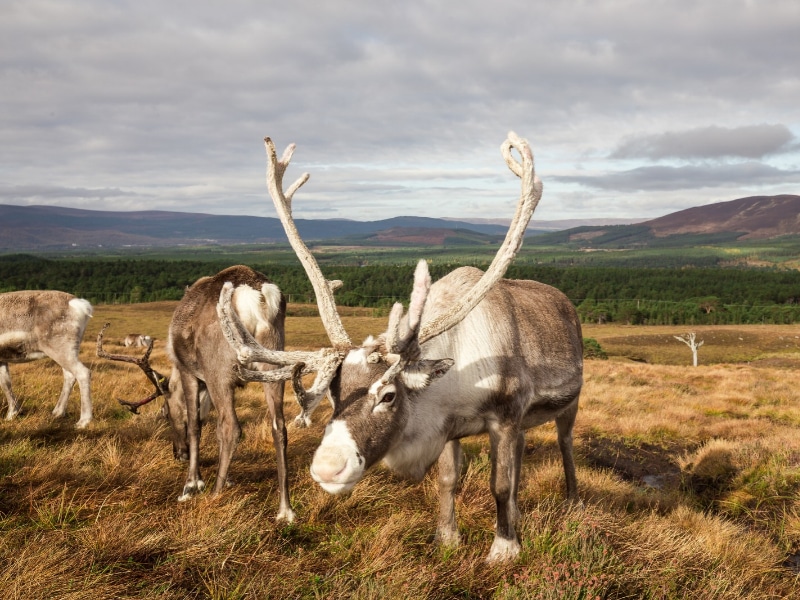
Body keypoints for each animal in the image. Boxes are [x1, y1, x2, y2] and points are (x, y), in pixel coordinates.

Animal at [0, 290, 93, 428]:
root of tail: (78, 303)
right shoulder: (2, 359)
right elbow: (6, 383)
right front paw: (12, 414)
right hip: (68, 351)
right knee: (70, 376)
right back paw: (57, 412)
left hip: (59, 350)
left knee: (83, 373)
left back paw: (83, 421)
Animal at [98, 265, 296, 522]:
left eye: (166, 412)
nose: (177, 453)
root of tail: (256, 296)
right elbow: (213, 428)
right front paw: (227, 478)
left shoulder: (189, 372)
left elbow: (195, 424)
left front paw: (192, 483)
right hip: (273, 360)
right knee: (278, 426)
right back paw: (285, 510)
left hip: (218, 370)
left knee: (232, 427)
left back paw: (214, 494)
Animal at [217, 132, 584, 562]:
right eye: (333, 394)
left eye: (389, 395)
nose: (327, 468)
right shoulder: (451, 426)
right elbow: (448, 480)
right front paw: (447, 537)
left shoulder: (507, 417)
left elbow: (501, 485)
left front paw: (504, 549)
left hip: (570, 403)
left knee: (566, 444)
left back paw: (573, 501)